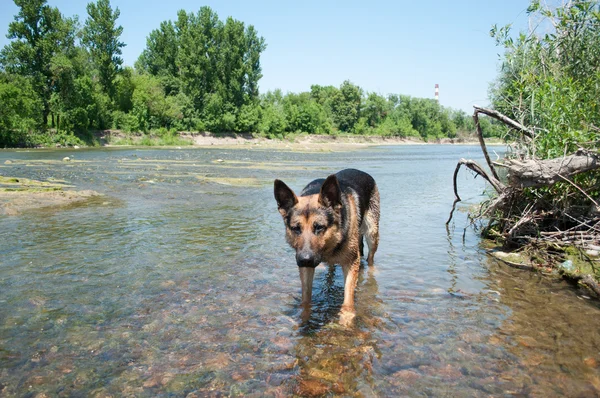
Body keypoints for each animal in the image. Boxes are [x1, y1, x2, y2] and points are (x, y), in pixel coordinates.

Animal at [274, 168, 380, 324]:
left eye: (319, 227)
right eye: (296, 228)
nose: (305, 260)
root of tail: (361, 171)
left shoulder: (351, 262)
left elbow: (348, 297)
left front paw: (346, 319)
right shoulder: (305, 267)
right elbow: (306, 297)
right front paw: (304, 316)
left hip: (372, 234)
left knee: (370, 258)